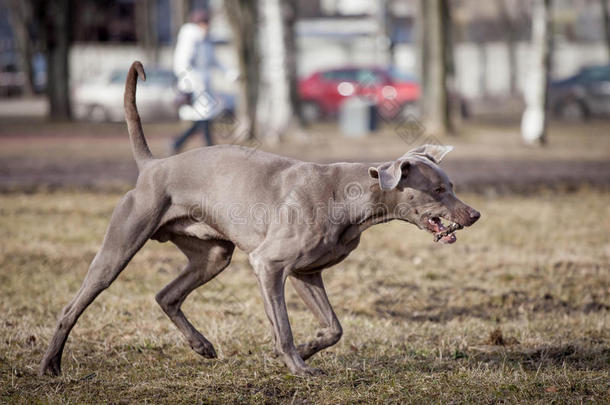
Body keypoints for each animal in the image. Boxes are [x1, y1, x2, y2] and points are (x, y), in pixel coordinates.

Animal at [39, 60, 480, 376]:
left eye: (451, 185)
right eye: (438, 191)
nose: (474, 214)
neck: (351, 196)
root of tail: (153, 165)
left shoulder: (306, 273)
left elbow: (334, 328)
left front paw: (308, 349)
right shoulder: (269, 264)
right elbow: (282, 326)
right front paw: (298, 365)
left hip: (213, 255)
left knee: (166, 295)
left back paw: (201, 346)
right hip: (119, 247)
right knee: (73, 306)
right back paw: (50, 366)